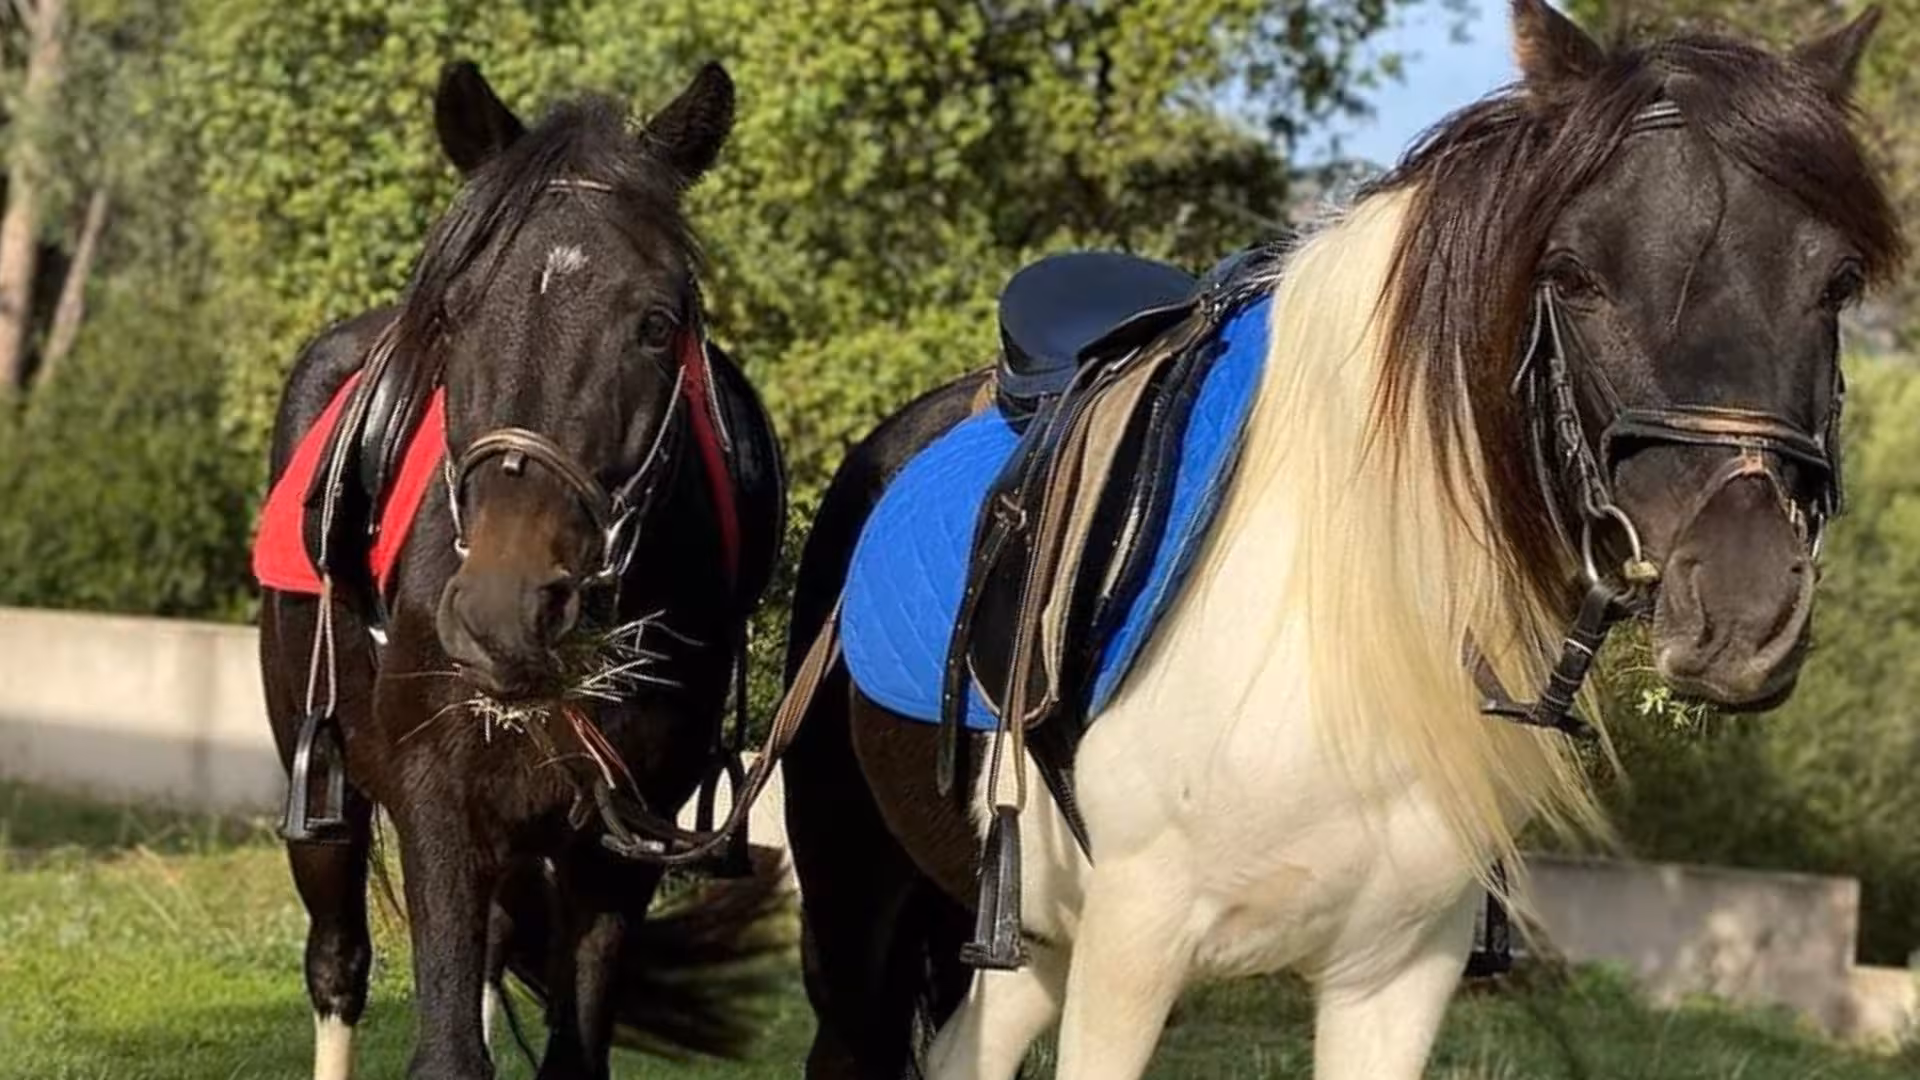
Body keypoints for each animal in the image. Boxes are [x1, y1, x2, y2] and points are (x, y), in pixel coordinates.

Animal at [253, 60, 787, 1080]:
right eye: (457, 315)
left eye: (656, 323)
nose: (505, 609)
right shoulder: (439, 809)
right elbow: (448, 1051)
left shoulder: (617, 843)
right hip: (324, 795)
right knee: (337, 963)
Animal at [779, 3, 1905, 1077]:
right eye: (1575, 272)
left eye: (1838, 281)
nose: (1745, 606)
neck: (1337, 619)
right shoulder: (1133, 950)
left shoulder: (1397, 976)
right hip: (860, 910)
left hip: (1033, 945)